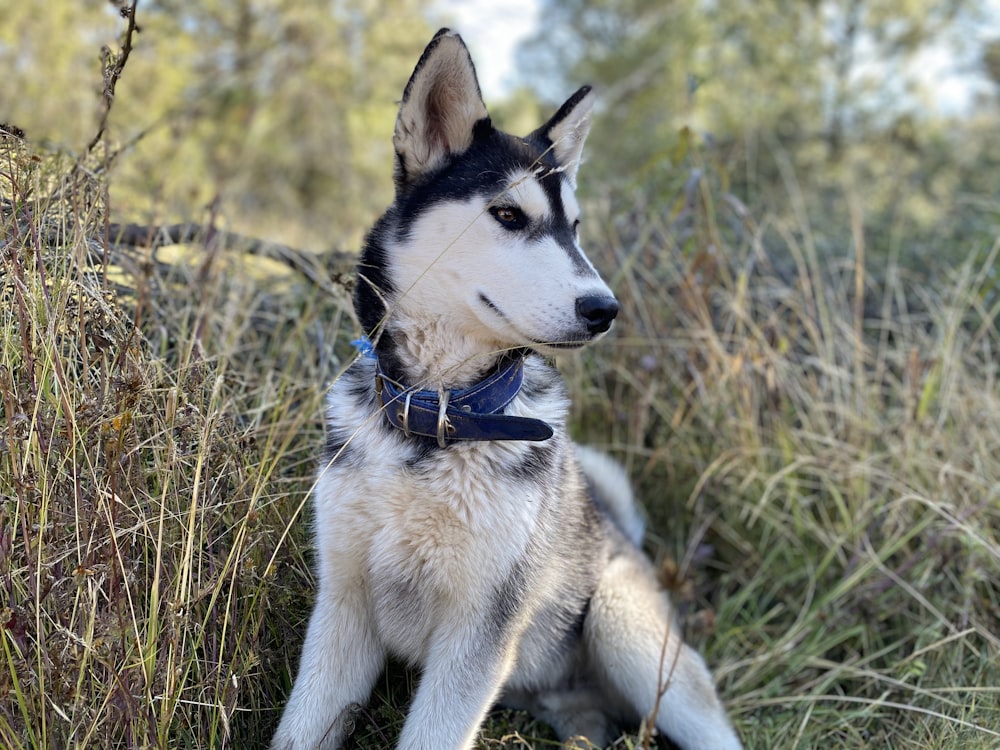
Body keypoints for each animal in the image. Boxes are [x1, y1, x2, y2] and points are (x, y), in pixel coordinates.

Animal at [274, 29, 744, 750]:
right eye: (507, 214)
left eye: (574, 229)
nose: (604, 309)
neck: (436, 421)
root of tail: (624, 537)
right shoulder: (342, 610)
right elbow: (301, 727)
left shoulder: (479, 630)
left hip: (622, 624)